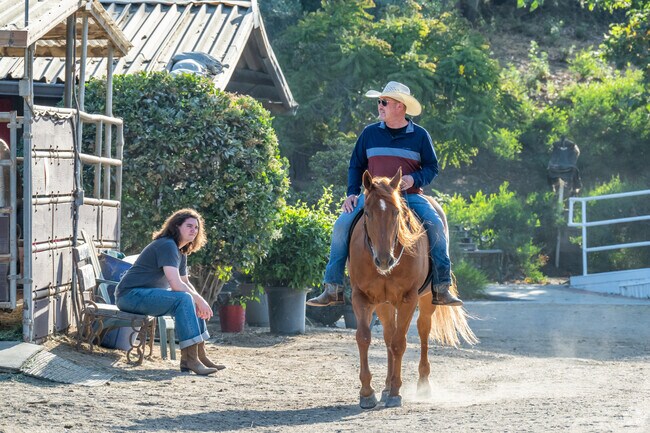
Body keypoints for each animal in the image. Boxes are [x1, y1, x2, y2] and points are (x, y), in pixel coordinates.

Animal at [348, 168, 477, 409]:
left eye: (396, 213)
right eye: (367, 213)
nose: (384, 260)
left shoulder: (408, 299)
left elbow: (400, 343)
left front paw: (396, 393)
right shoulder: (361, 298)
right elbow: (364, 338)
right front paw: (367, 393)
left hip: (425, 301)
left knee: (422, 330)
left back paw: (423, 384)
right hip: (384, 304)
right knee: (388, 336)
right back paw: (385, 386)